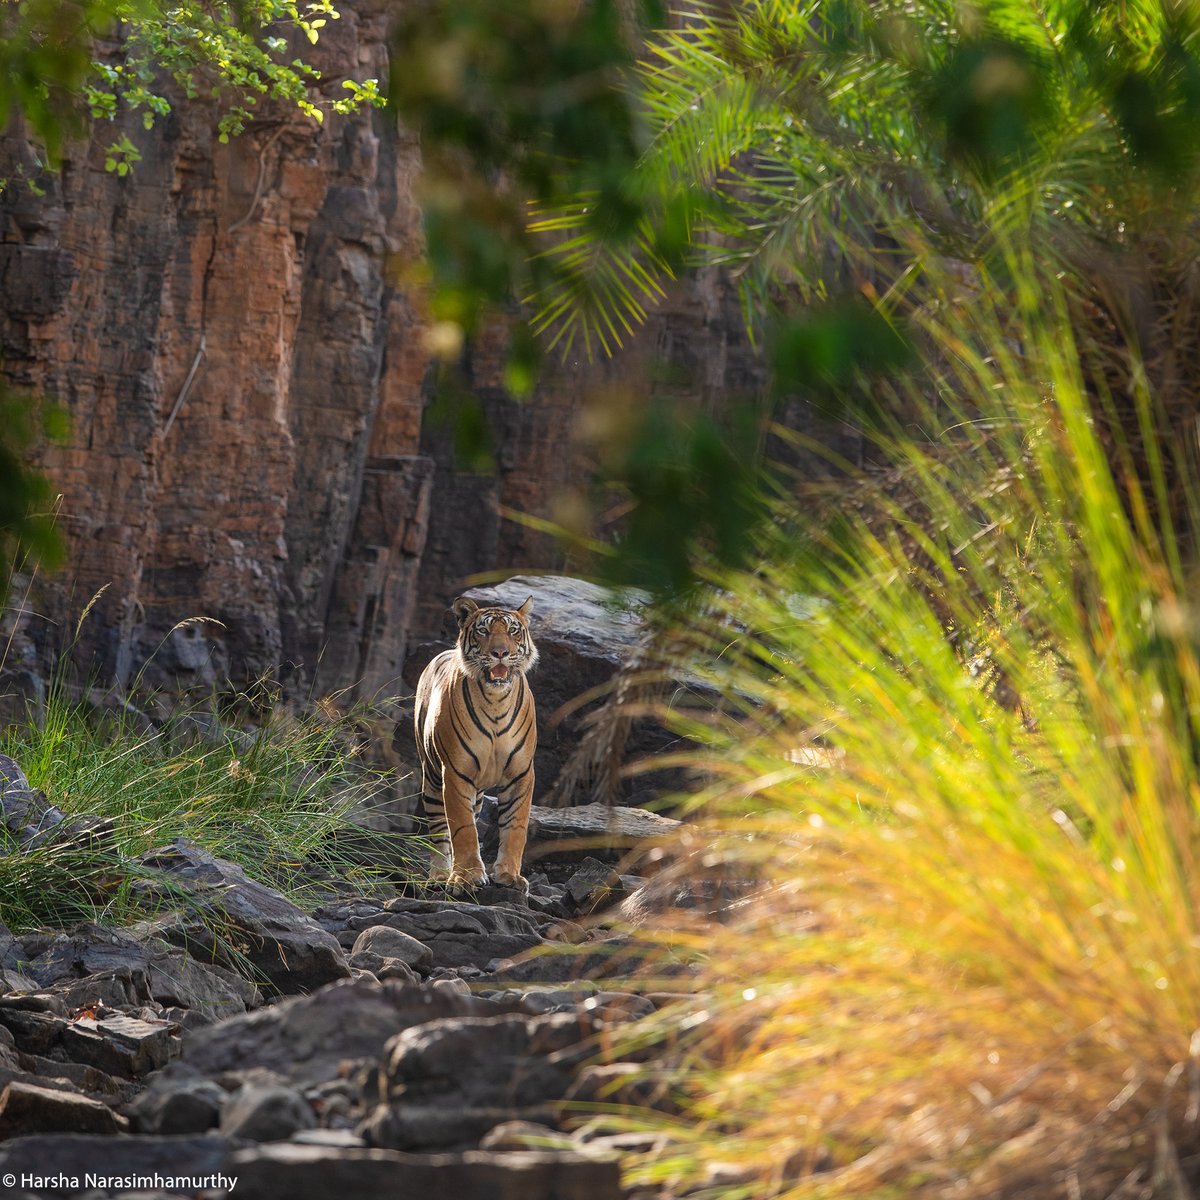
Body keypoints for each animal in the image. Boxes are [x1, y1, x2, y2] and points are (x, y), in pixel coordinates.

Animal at [413, 594, 538, 890]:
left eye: (512, 631)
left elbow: (515, 827)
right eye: (483, 631)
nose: (500, 653)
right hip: (431, 779)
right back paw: (440, 875)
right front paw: (466, 877)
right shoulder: (455, 772)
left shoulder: (521, 773)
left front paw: (509, 875)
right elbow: (463, 828)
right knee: (439, 831)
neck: (496, 700)